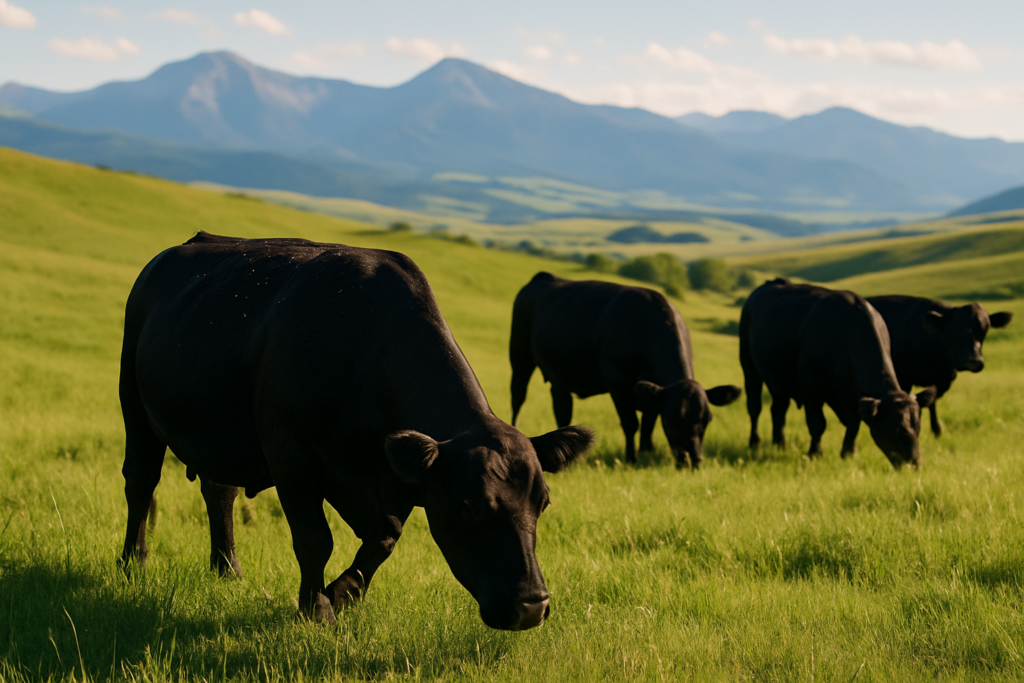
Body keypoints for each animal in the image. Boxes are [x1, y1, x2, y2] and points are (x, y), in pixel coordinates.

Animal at [118, 232, 594, 630]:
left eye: (543, 503)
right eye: (469, 507)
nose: (531, 606)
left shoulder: (395, 476)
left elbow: (384, 539)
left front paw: (341, 594)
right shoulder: (290, 452)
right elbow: (315, 540)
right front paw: (316, 608)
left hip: (221, 433)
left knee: (219, 491)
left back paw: (228, 570)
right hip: (134, 405)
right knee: (140, 481)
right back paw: (132, 565)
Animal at [509, 272, 741, 469]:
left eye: (707, 419)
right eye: (672, 421)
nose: (693, 460)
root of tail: (543, 277)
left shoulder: (652, 391)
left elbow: (648, 421)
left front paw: (648, 451)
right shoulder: (618, 384)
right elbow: (631, 424)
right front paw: (632, 458)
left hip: (560, 375)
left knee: (562, 408)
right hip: (519, 357)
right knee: (518, 397)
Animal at [739, 279, 936, 467]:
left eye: (918, 428)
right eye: (895, 429)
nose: (914, 463)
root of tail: (769, 284)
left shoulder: (852, 398)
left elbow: (854, 424)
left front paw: (849, 453)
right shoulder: (811, 391)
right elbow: (817, 423)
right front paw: (815, 454)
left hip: (777, 382)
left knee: (778, 409)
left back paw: (780, 443)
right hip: (749, 369)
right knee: (754, 407)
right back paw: (755, 442)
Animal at [867, 295, 1012, 436]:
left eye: (984, 331)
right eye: (956, 331)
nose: (975, 361)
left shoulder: (945, 379)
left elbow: (931, 401)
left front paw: (936, 429)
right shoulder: (903, 379)